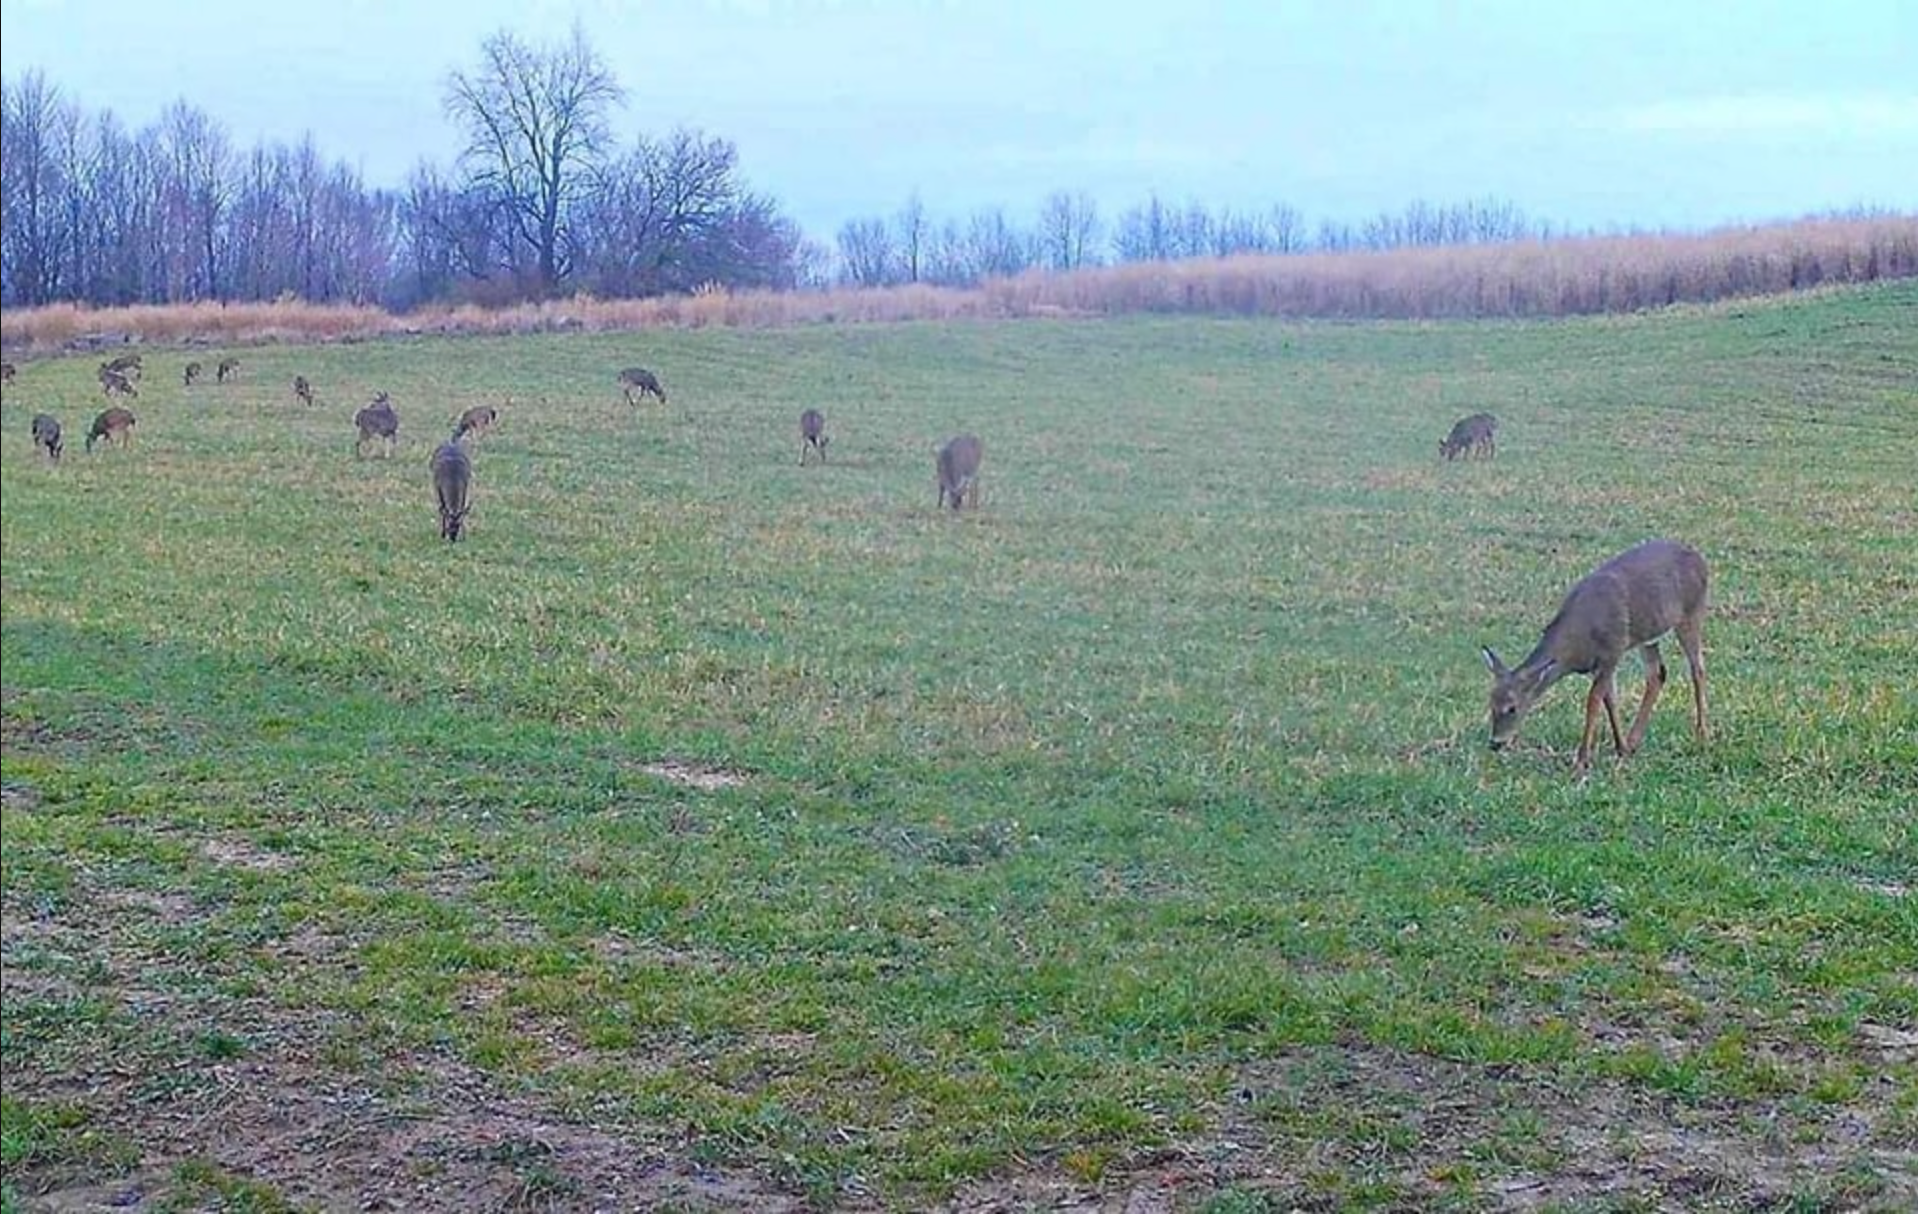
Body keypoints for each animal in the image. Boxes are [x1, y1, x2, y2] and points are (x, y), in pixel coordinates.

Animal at [1482, 538, 1710, 776]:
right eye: (1491, 702)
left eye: (1512, 707)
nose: (1495, 743)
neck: (1576, 645)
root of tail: (1700, 559)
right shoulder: (1599, 665)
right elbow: (1610, 701)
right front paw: (1621, 748)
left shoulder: (1612, 651)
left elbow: (1593, 702)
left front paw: (1582, 760)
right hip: (1648, 636)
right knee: (1657, 674)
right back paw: (1634, 741)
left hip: (1692, 612)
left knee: (1698, 668)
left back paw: (1702, 733)